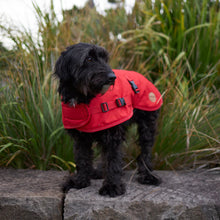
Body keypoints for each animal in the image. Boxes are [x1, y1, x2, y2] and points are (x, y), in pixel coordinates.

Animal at [54, 43, 162, 198]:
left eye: (105, 59)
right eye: (89, 58)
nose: (112, 77)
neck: (85, 98)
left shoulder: (113, 136)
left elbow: (113, 160)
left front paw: (112, 186)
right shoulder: (81, 138)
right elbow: (82, 159)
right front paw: (80, 181)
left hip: (148, 123)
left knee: (145, 150)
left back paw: (147, 175)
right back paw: (99, 172)